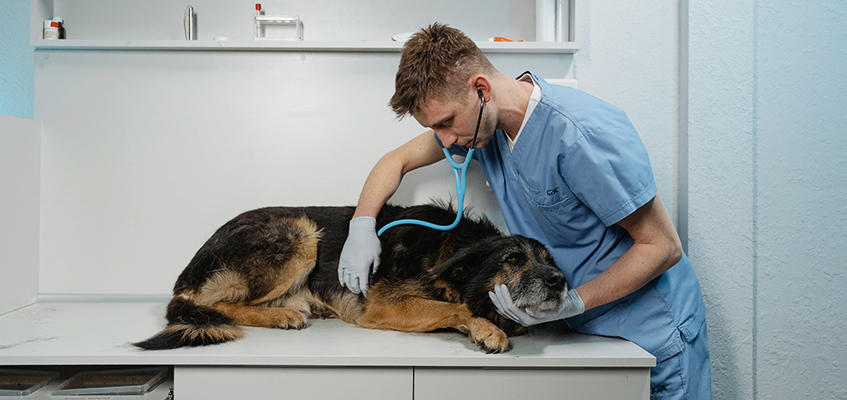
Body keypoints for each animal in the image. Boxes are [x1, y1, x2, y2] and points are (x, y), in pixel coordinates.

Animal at [134, 203, 568, 354]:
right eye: (513, 258)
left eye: (550, 259)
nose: (560, 281)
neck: (450, 249)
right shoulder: (384, 306)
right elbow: (459, 307)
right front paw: (487, 329)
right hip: (301, 230)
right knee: (215, 304)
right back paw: (281, 316)